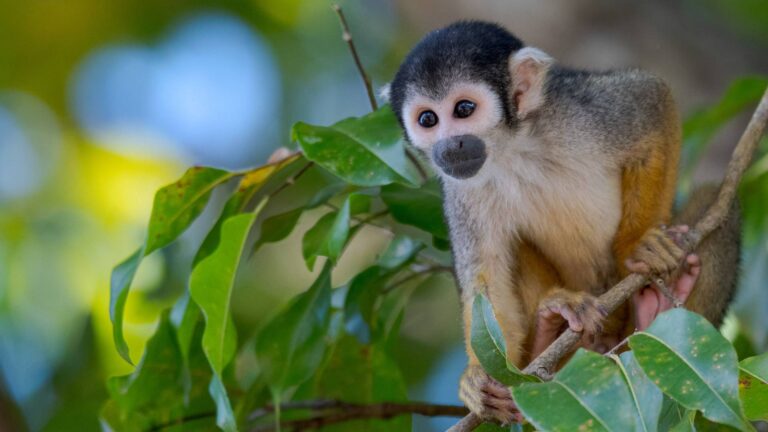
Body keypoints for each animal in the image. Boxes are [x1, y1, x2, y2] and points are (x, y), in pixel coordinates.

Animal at [386, 21, 741, 424]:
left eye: (463, 109)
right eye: (428, 119)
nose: (449, 147)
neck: (512, 148)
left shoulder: (576, 112)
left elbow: (652, 100)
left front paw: (637, 245)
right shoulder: (460, 189)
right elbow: (485, 279)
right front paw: (479, 377)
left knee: (718, 202)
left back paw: (658, 310)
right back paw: (549, 333)